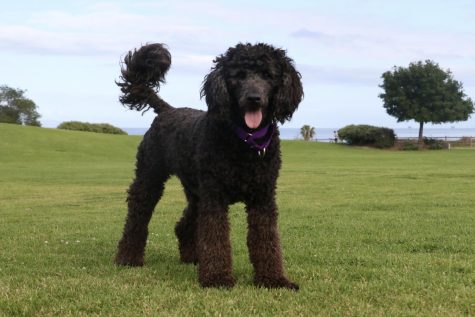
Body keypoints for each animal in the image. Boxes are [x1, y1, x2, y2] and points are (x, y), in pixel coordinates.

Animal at [114, 42, 304, 288]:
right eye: (238, 76)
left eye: (267, 75)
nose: (253, 98)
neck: (244, 142)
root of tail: (167, 109)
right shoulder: (214, 196)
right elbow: (215, 236)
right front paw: (217, 278)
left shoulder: (263, 197)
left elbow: (266, 240)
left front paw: (273, 279)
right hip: (150, 178)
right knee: (137, 216)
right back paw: (128, 258)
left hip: (195, 191)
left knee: (184, 224)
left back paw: (191, 256)